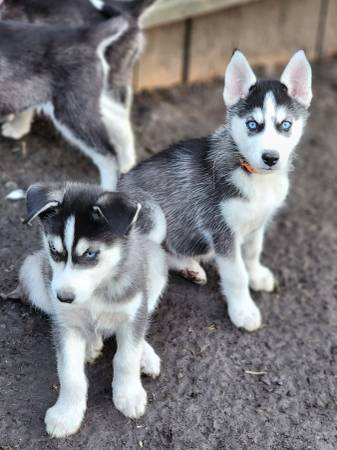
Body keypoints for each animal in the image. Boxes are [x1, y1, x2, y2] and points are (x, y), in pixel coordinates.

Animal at [18, 182, 167, 436]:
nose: (63, 297)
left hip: (156, 268)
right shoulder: (64, 323)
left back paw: (144, 355)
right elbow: (70, 373)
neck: (96, 292)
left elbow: (127, 357)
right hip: (32, 272)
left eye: (90, 253)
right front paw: (66, 414)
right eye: (53, 249)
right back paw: (91, 345)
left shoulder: (133, 310)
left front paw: (128, 394)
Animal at [119, 50, 312, 330]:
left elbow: (253, 252)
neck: (254, 176)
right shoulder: (221, 231)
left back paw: (190, 267)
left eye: (285, 125)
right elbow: (236, 275)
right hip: (153, 215)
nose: (270, 157)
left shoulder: (259, 221)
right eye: (252, 125)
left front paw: (257, 275)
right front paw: (243, 311)